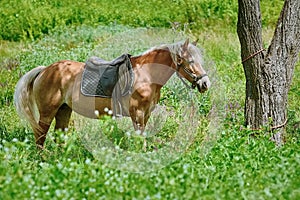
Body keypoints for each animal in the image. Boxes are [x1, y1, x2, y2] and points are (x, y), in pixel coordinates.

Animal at [14, 39, 211, 148]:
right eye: (190, 61)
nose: (205, 83)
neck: (146, 75)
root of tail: (44, 70)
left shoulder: (146, 114)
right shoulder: (137, 113)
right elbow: (140, 138)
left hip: (63, 110)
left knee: (58, 136)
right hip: (48, 112)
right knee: (40, 137)